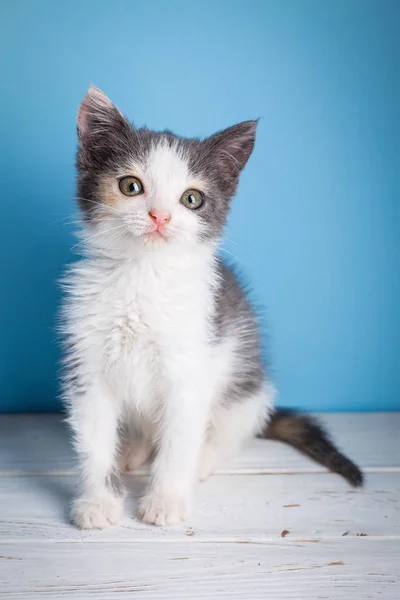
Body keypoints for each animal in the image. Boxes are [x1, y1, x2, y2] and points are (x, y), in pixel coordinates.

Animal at [61, 85, 362, 528]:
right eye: (130, 186)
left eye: (192, 198)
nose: (160, 216)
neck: (143, 276)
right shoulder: (88, 366)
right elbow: (94, 441)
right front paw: (98, 504)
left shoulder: (192, 367)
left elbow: (179, 441)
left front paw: (166, 500)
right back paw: (133, 449)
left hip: (248, 390)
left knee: (230, 430)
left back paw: (201, 461)